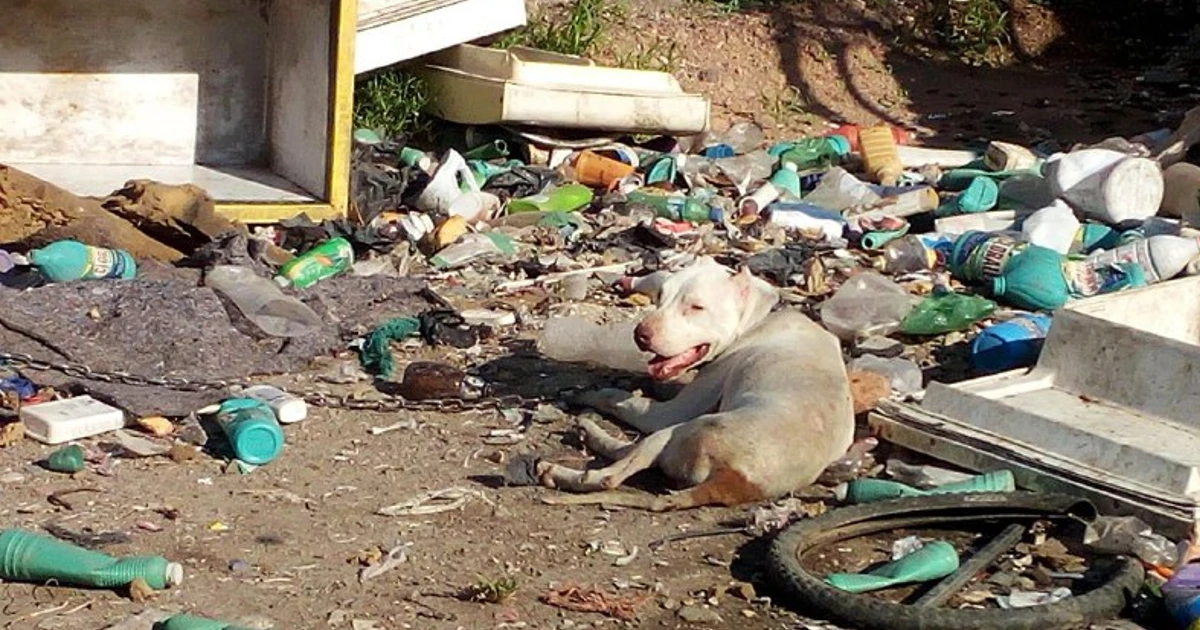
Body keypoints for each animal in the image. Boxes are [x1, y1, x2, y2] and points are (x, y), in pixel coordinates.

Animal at [535, 258, 854, 508]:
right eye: (660, 296)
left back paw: (567, 459)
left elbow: (616, 397)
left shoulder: (674, 408)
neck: (757, 319)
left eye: (697, 307)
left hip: (678, 430)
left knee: (610, 474)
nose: (640, 334)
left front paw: (588, 392)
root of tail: (735, 480)